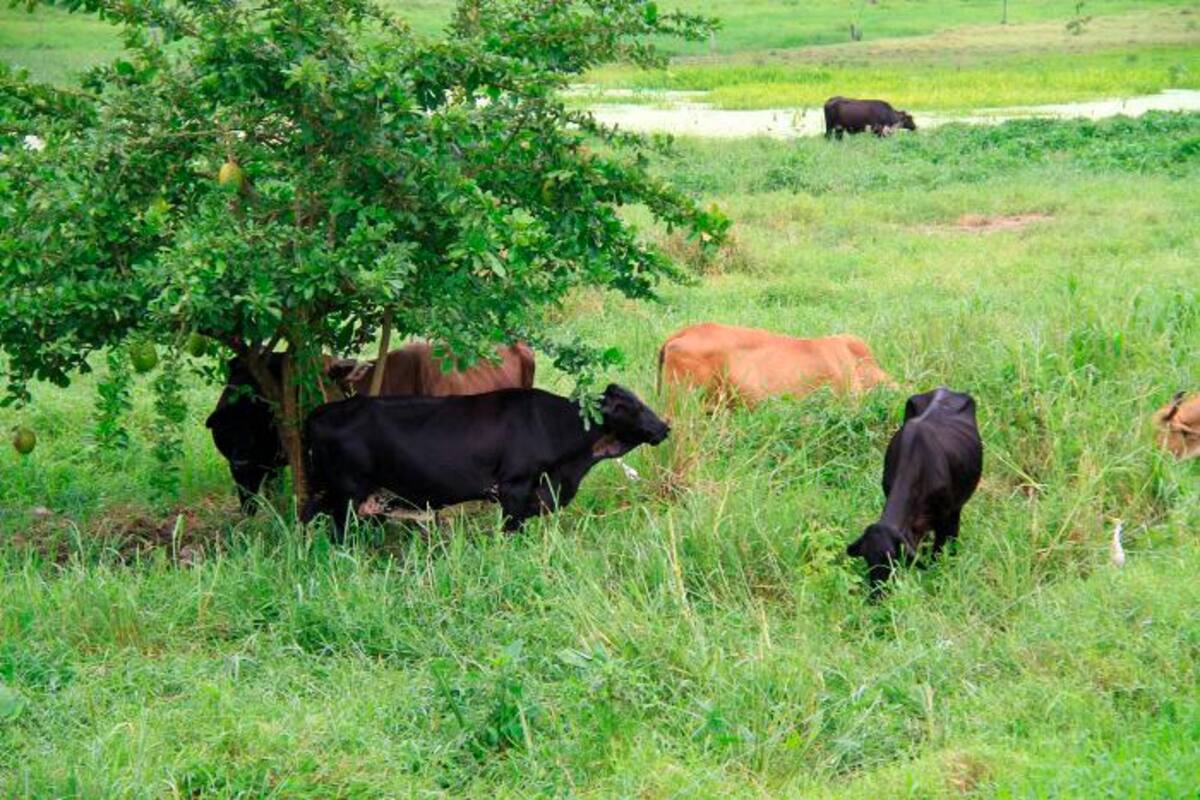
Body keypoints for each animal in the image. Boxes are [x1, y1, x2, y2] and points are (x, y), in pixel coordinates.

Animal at [301, 384, 670, 540]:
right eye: (630, 407)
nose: (664, 427)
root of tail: (319, 412)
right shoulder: (514, 488)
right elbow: (511, 531)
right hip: (346, 493)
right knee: (337, 531)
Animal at [847, 387, 983, 593]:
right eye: (867, 559)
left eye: (893, 560)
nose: (878, 594)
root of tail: (944, 390)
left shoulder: (944, 517)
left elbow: (939, 552)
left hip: (956, 507)